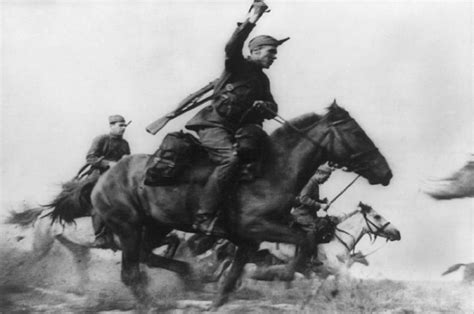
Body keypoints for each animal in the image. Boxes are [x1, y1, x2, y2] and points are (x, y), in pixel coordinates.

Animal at [52, 102, 392, 306]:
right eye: (354, 132)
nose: (386, 173)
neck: (271, 171)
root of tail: (104, 177)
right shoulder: (257, 228)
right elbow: (305, 242)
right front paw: (269, 275)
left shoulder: (247, 239)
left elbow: (229, 283)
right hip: (129, 227)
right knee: (131, 272)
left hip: (155, 227)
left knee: (149, 258)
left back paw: (188, 275)